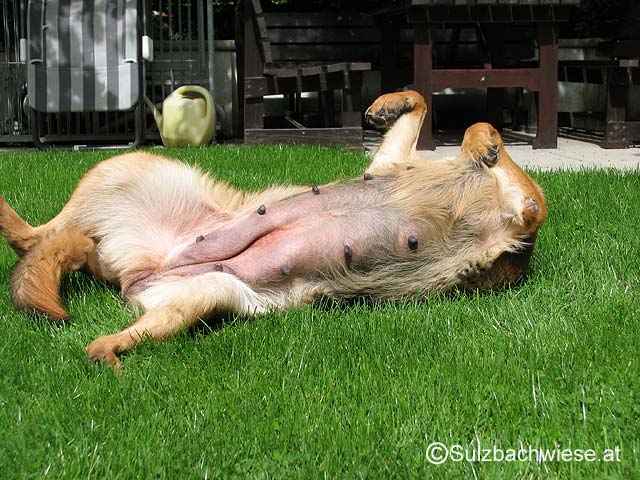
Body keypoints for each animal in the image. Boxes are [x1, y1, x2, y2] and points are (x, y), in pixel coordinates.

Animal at [0, 91, 547, 369]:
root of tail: (142, 267)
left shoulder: (522, 219)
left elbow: (481, 135)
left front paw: (480, 145)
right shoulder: (395, 165)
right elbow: (445, 109)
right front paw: (472, 141)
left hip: (204, 293)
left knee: (55, 268)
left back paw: (108, 350)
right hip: (128, 170)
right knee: (31, 235)